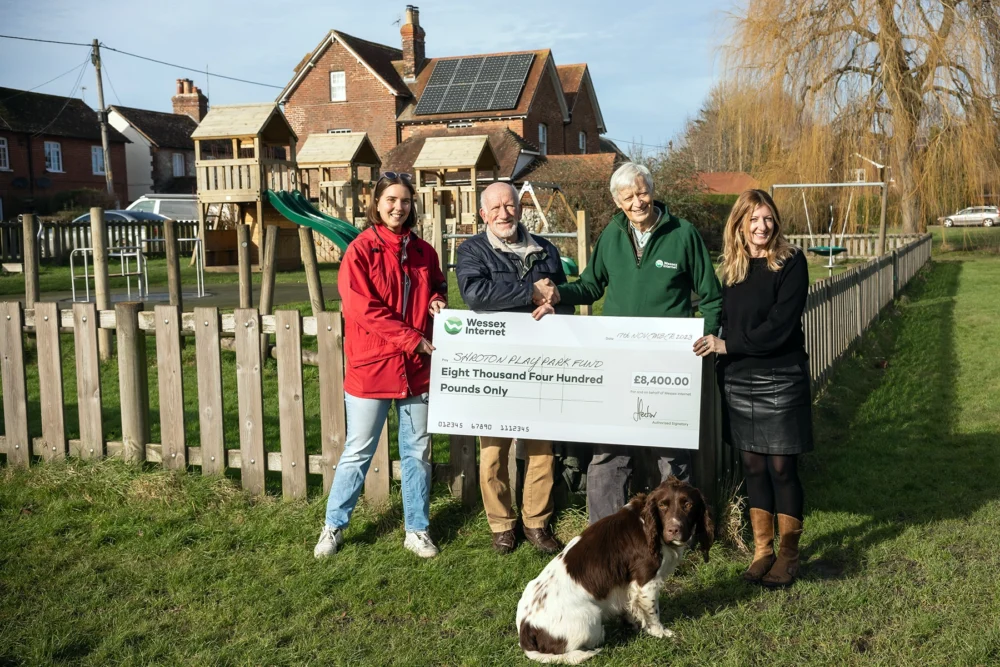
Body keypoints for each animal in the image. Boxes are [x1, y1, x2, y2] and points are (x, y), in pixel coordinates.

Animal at [516, 478, 712, 664]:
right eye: (663, 505)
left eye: (688, 505)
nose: (673, 530)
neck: (648, 525)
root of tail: (526, 629)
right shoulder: (646, 582)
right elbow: (653, 613)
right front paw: (661, 633)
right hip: (591, 618)